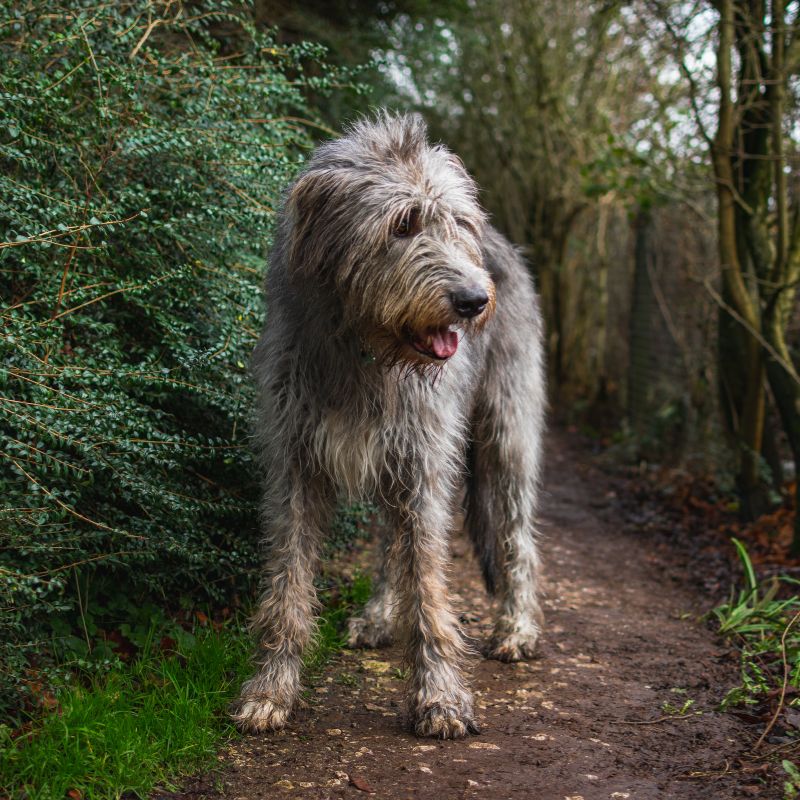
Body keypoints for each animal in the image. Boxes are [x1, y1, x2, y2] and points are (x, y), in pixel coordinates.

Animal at [228, 111, 548, 736]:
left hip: (507, 432)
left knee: (516, 534)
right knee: (386, 541)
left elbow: (428, 583)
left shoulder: (423, 462)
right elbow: (289, 581)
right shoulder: (294, 464)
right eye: (402, 224)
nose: (474, 300)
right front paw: (272, 688)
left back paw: (517, 628)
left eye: (457, 224)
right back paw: (380, 614)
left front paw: (440, 696)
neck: (364, 351)